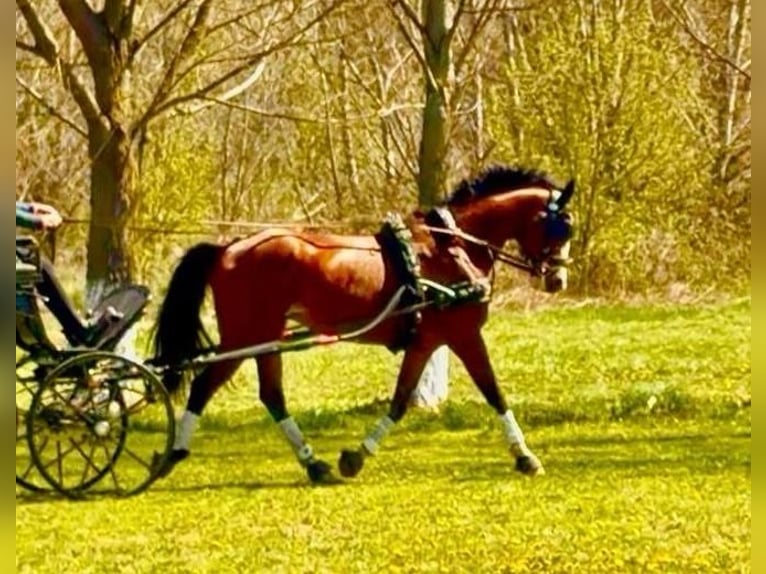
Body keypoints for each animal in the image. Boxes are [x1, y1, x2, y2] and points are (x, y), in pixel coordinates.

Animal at [151, 164, 575, 483]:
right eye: (562, 227)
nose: (558, 280)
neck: (453, 247)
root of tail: (228, 247)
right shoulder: (464, 335)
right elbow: (494, 393)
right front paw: (525, 455)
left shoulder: (426, 341)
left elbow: (401, 401)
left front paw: (356, 456)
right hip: (246, 336)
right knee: (206, 386)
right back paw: (174, 454)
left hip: (265, 339)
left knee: (271, 395)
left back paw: (312, 464)